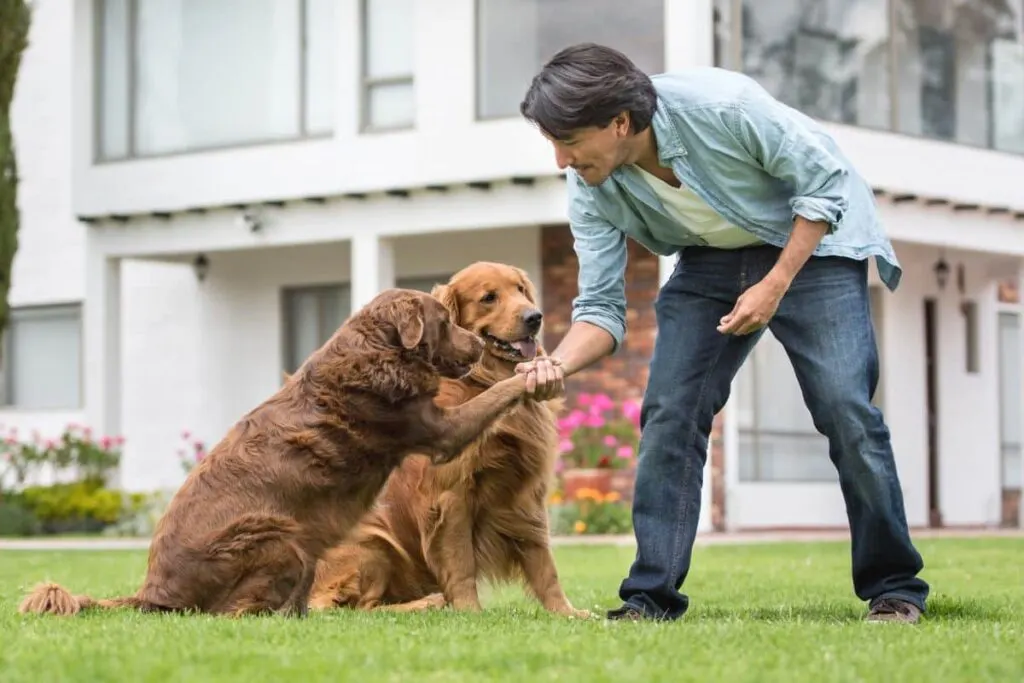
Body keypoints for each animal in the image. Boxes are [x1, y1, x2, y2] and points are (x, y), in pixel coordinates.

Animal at [18, 288, 528, 618]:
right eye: (445, 321)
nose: (479, 342)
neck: (381, 352)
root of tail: (153, 594)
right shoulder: (434, 429)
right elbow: (494, 396)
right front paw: (530, 376)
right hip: (278, 536)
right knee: (235, 614)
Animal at [307, 262, 589, 618]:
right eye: (488, 297)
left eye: (521, 290)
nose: (534, 317)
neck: (481, 382)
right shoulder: (449, 495)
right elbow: (460, 562)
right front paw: (470, 613)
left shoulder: (525, 493)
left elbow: (544, 562)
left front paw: (567, 613)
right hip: (373, 541)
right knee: (358, 608)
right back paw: (428, 602)